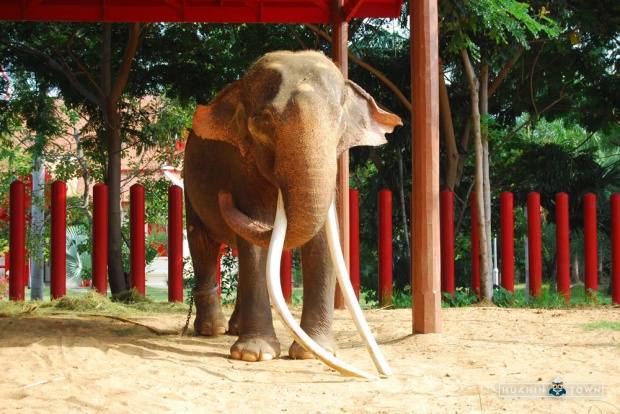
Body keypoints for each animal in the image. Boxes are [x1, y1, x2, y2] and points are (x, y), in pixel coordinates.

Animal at [183, 49, 402, 376]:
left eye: (339, 119)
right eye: (265, 121)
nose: (225, 195)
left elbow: (322, 243)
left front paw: (313, 353)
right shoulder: (242, 169)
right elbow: (254, 242)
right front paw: (254, 355)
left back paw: (234, 328)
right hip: (188, 185)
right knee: (203, 244)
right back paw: (212, 330)